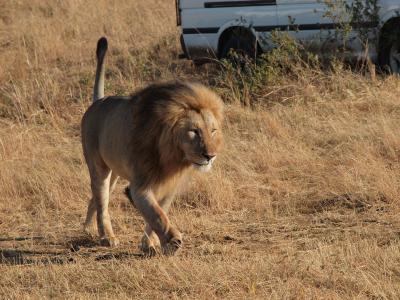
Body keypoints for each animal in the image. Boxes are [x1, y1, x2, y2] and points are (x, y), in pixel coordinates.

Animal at [80, 36, 225, 254]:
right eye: (194, 131)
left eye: (213, 131)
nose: (210, 156)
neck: (173, 156)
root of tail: (98, 102)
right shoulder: (140, 185)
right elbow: (156, 213)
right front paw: (172, 240)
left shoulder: (169, 185)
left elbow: (158, 211)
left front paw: (149, 242)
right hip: (99, 168)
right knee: (102, 200)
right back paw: (107, 237)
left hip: (115, 171)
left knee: (95, 200)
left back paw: (88, 229)